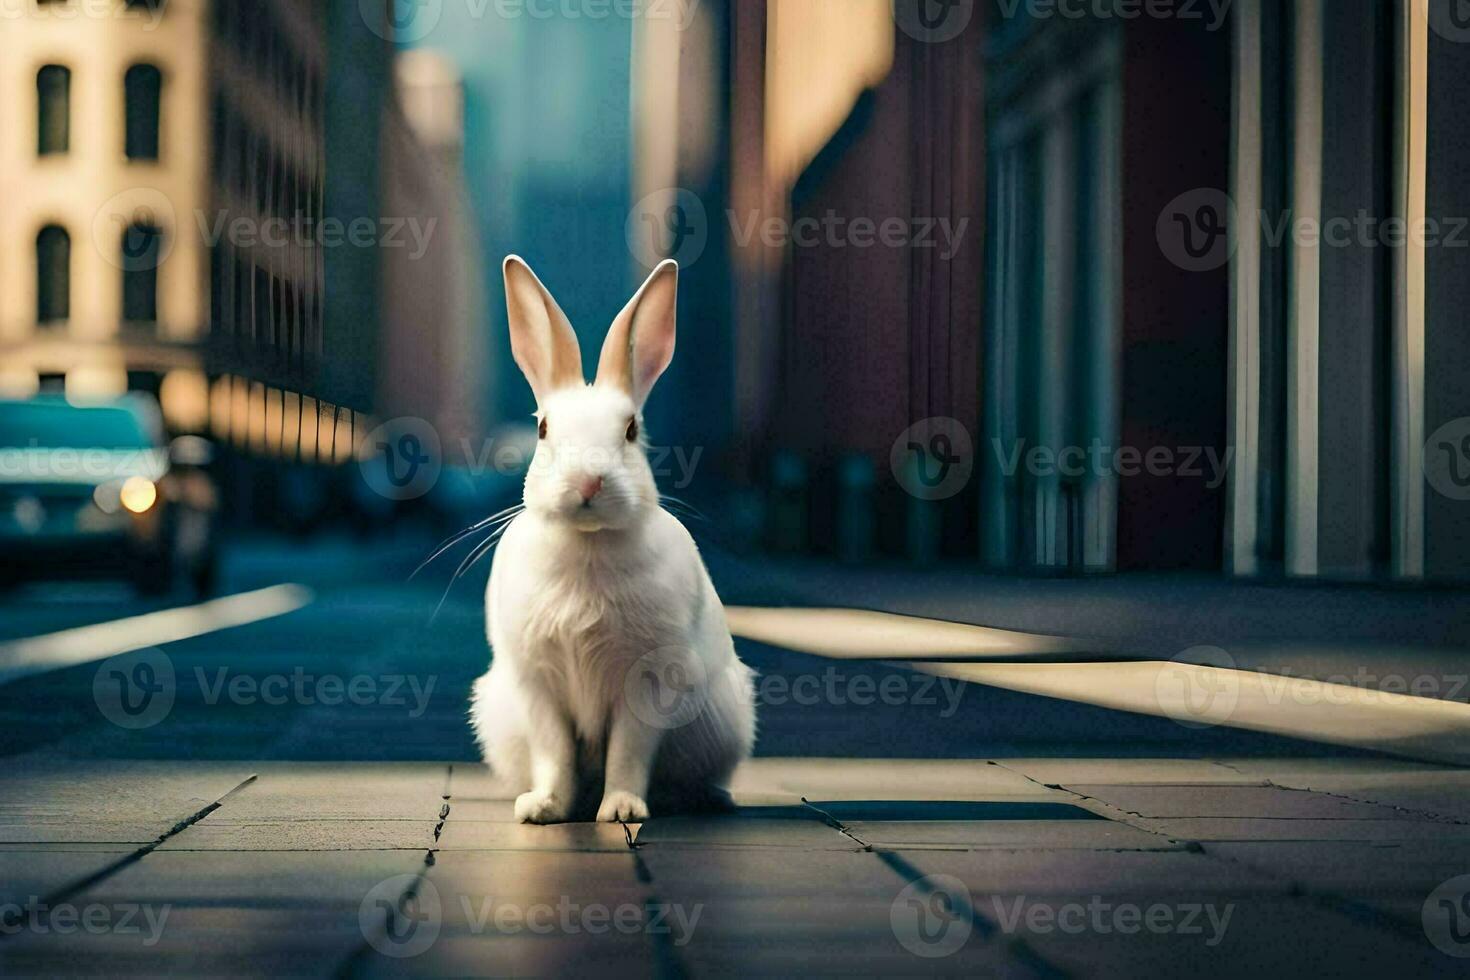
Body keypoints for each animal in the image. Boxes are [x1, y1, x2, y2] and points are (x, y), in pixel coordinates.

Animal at [473, 252, 758, 822]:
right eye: (542, 429)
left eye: (630, 431)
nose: (587, 482)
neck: (588, 544)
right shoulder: (537, 684)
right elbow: (555, 752)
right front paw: (543, 809)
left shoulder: (647, 681)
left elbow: (628, 751)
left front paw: (622, 810)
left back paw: (707, 798)